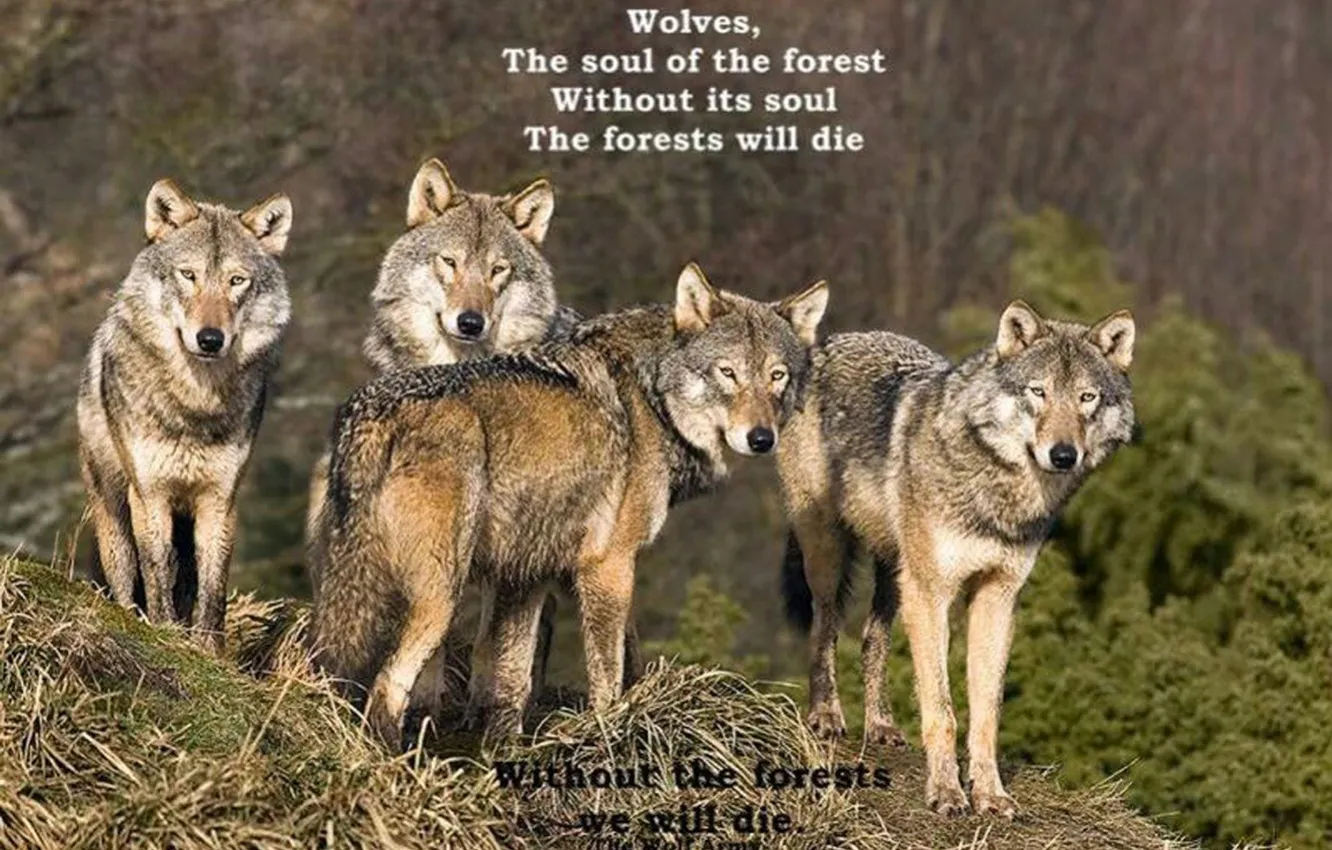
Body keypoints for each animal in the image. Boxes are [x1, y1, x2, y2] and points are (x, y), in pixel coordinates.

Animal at [77, 179, 293, 652]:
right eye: (188, 275)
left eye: (236, 281)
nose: (210, 339)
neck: (194, 405)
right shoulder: (150, 494)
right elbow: (157, 573)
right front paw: (165, 634)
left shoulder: (220, 500)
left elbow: (213, 590)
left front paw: (209, 651)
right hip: (113, 510)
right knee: (127, 578)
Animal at [311, 262, 828, 746]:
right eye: (728, 372)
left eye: (777, 376)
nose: (761, 438)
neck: (652, 397)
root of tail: (372, 414)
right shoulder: (608, 564)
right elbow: (608, 671)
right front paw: (609, 733)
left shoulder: (527, 573)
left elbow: (512, 678)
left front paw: (505, 748)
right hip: (440, 595)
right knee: (386, 687)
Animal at [777, 300, 1135, 817]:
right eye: (1039, 392)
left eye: (1087, 398)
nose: (1064, 454)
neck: (999, 493)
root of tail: (832, 340)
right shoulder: (933, 594)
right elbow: (942, 710)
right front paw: (946, 792)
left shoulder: (997, 597)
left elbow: (986, 713)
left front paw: (990, 794)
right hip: (830, 553)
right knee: (823, 625)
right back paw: (826, 715)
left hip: (896, 573)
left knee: (871, 638)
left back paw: (880, 725)